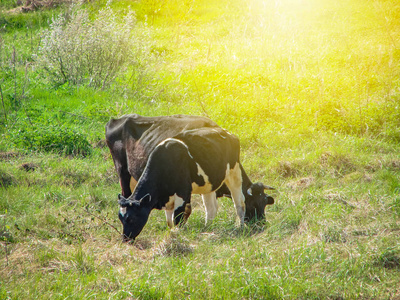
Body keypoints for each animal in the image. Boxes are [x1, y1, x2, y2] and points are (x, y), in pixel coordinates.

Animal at [116, 127, 250, 240]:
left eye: (131, 218)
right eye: (120, 219)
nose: (125, 239)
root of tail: (227, 132)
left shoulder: (182, 193)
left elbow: (178, 219)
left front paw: (178, 237)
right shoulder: (168, 200)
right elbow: (170, 222)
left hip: (234, 172)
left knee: (239, 202)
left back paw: (240, 226)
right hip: (208, 184)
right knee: (211, 208)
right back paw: (208, 228)